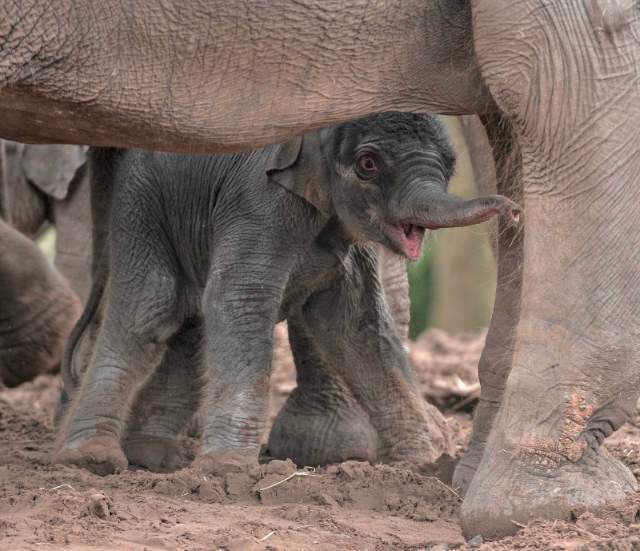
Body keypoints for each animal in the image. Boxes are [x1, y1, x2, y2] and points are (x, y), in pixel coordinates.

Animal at [52, 112, 516, 474]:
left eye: (451, 163)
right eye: (368, 164)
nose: (512, 209)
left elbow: (358, 328)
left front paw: (423, 465)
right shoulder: (260, 203)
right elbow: (239, 300)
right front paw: (226, 470)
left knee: (190, 329)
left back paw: (156, 456)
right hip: (143, 206)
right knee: (151, 309)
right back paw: (92, 458)